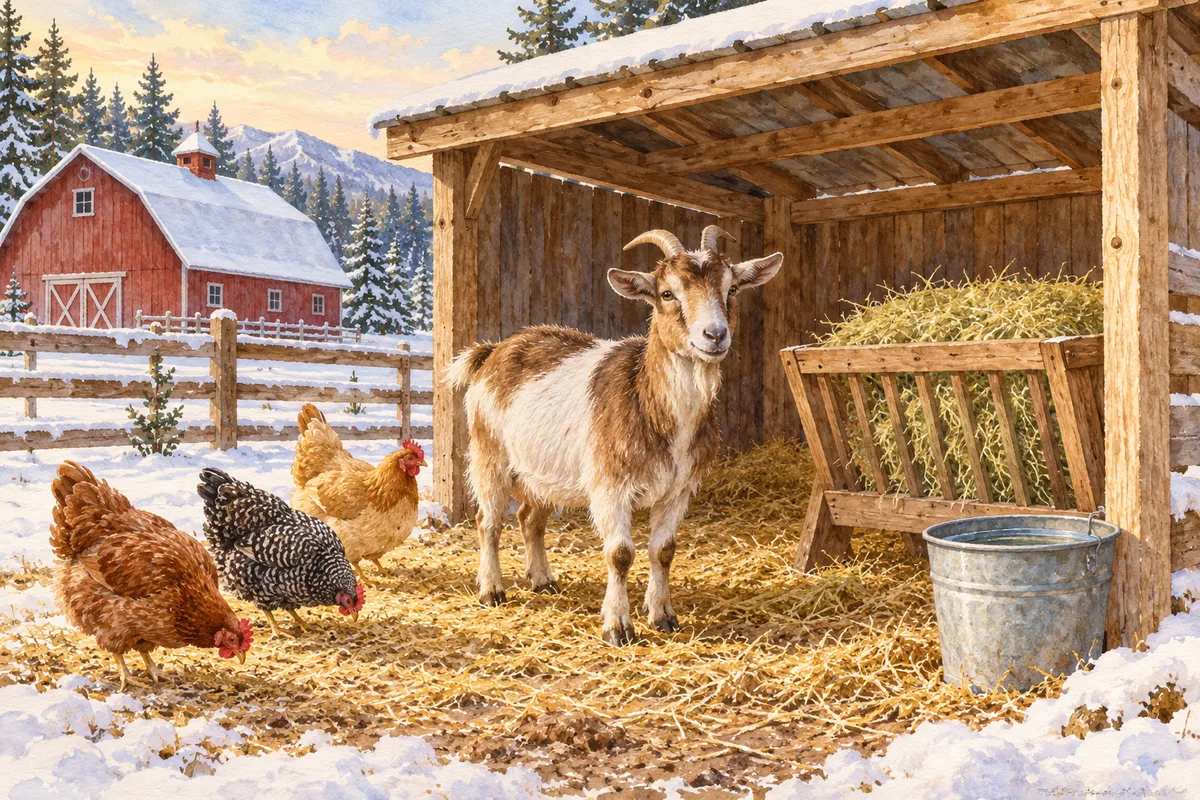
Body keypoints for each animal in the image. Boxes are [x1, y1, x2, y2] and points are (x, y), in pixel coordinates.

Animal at [446, 225, 783, 644]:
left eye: (731, 288)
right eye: (667, 293)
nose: (715, 335)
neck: (646, 396)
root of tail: (492, 352)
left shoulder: (678, 490)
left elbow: (664, 550)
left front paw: (663, 616)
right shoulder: (610, 486)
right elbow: (620, 554)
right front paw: (618, 626)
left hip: (545, 473)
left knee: (529, 519)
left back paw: (542, 580)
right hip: (489, 453)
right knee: (488, 520)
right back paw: (491, 590)